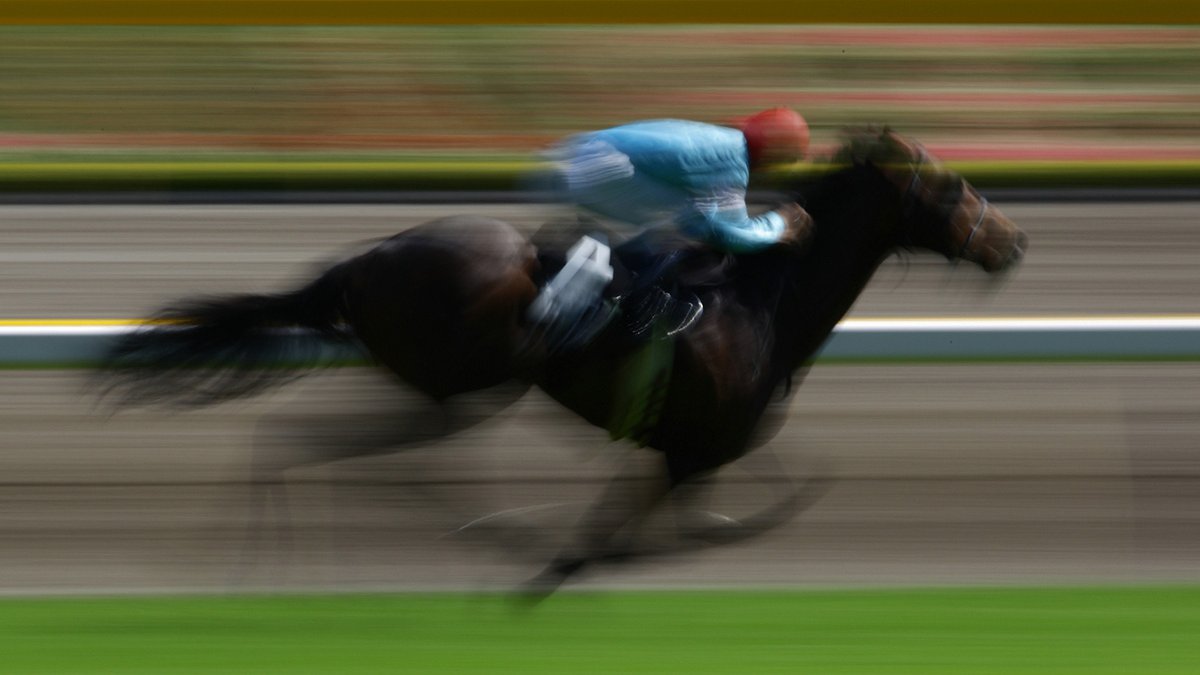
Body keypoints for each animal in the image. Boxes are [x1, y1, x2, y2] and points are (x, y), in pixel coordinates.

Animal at [98, 128, 1027, 590]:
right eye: (950, 186)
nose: (1013, 239)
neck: (763, 302)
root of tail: (364, 260)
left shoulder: (699, 456)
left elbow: (759, 502)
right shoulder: (684, 457)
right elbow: (631, 538)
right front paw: (563, 561)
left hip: (455, 387)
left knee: (321, 448)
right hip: (465, 382)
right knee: (365, 457)